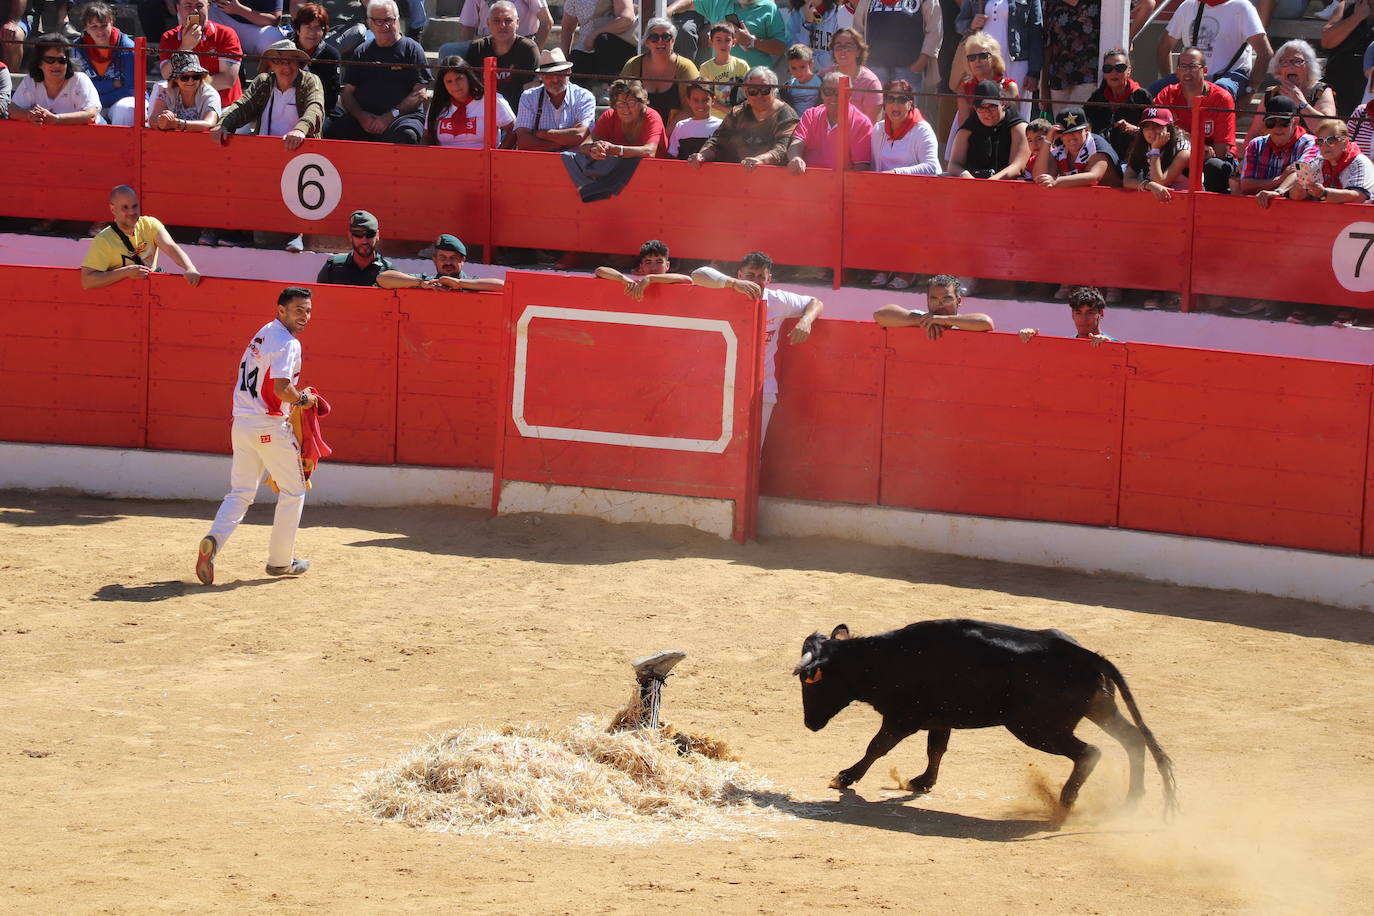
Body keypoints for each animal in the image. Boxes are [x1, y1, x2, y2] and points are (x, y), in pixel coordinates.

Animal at [802, 620, 1176, 818]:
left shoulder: (902, 719)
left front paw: (844, 777)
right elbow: (935, 749)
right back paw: (1131, 801)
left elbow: (876, 746)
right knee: (1133, 739)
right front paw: (921, 782)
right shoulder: (939, 719)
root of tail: (1087, 656)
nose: (809, 724)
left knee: (1090, 752)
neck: (882, 659)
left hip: (1036, 728)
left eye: (811, 683)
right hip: (1099, 708)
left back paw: (1066, 800)